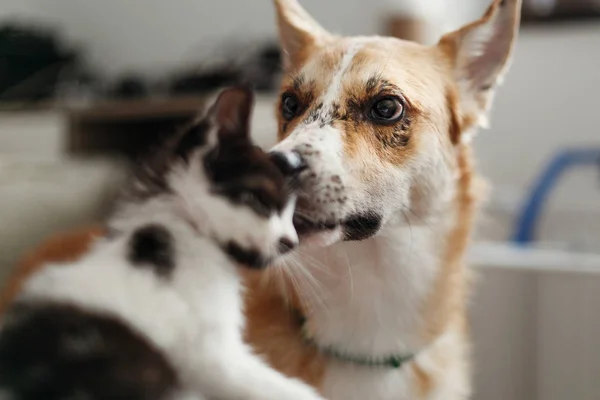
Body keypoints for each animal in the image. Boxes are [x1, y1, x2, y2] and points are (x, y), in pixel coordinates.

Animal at [0, 86, 326, 400]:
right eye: (260, 201)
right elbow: (287, 389)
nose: (290, 241)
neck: (182, 228)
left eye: (291, 215)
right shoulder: (213, 356)